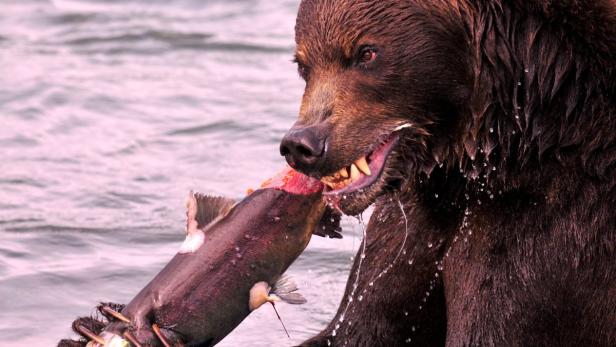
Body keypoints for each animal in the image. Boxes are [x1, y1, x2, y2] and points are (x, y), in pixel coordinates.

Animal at [280, 0, 616, 347]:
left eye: (366, 53)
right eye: (303, 65)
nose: (302, 144)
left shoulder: (552, 235)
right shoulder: (415, 229)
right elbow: (357, 326)